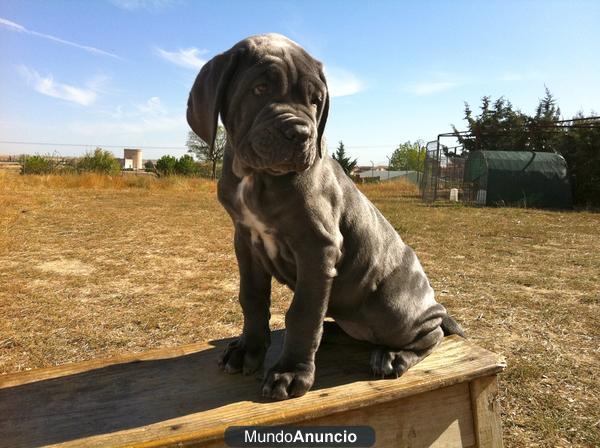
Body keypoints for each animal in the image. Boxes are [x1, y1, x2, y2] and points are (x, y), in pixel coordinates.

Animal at [188, 33, 464, 400]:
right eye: (259, 88)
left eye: (316, 101)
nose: (301, 134)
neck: (258, 177)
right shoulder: (245, 240)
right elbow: (252, 298)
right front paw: (248, 351)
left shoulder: (317, 248)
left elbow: (303, 313)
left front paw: (290, 373)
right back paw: (332, 333)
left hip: (391, 306)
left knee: (432, 332)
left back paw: (394, 355)